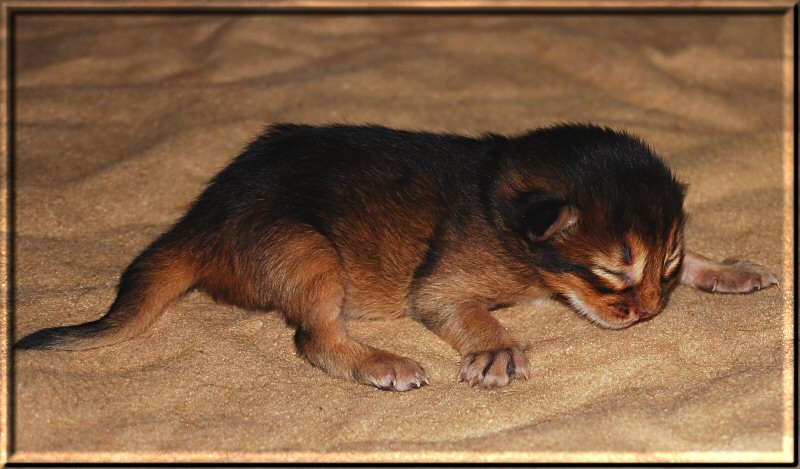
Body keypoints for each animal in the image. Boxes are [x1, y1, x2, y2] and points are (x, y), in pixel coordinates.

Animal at [18, 122, 780, 390]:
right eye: (611, 272)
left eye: (666, 267)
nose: (648, 311)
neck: (496, 193)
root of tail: (199, 222)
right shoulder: (440, 286)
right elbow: (471, 313)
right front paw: (497, 348)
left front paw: (729, 269)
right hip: (305, 247)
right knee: (313, 339)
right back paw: (381, 362)